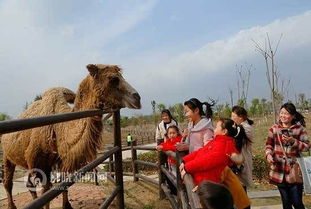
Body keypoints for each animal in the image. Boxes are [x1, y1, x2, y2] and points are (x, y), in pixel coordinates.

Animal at [0, 64, 141, 208]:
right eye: (113, 79)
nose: (137, 98)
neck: (58, 128)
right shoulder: (36, 159)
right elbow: (46, 190)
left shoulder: (60, 159)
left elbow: (62, 183)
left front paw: (67, 205)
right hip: (7, 156)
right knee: (9, 182)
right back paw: (12, 205)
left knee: (29, 184)